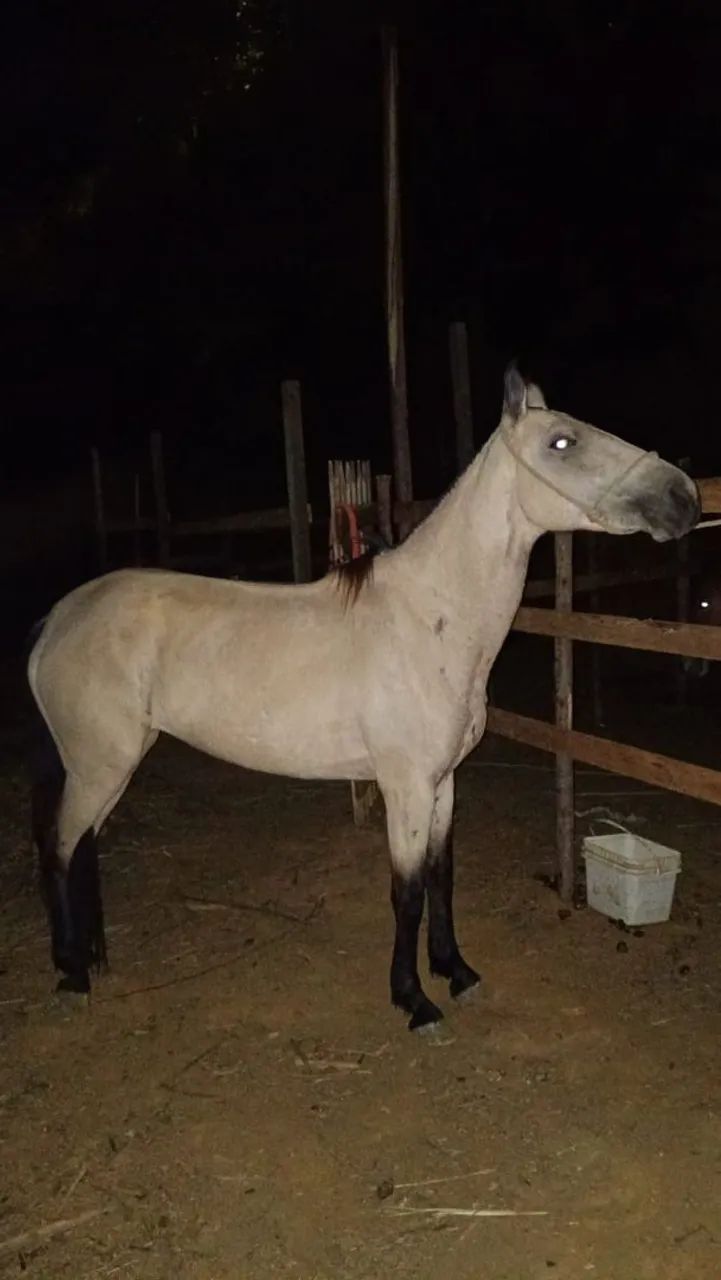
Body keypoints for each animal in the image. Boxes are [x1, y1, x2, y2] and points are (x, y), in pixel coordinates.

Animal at [27, 366, 700, 1031]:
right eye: (562, 441)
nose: (683, 497)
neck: (430, 617)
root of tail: (57, 621)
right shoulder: (405, 787)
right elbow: (407, 892)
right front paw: (414, 1000)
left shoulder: (443, 782)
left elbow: (441, 878)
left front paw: (456, 972)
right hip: (98, 765)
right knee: (59, 847)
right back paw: (71, 973)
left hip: (115, 765)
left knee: (83, 847)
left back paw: (92, 959)